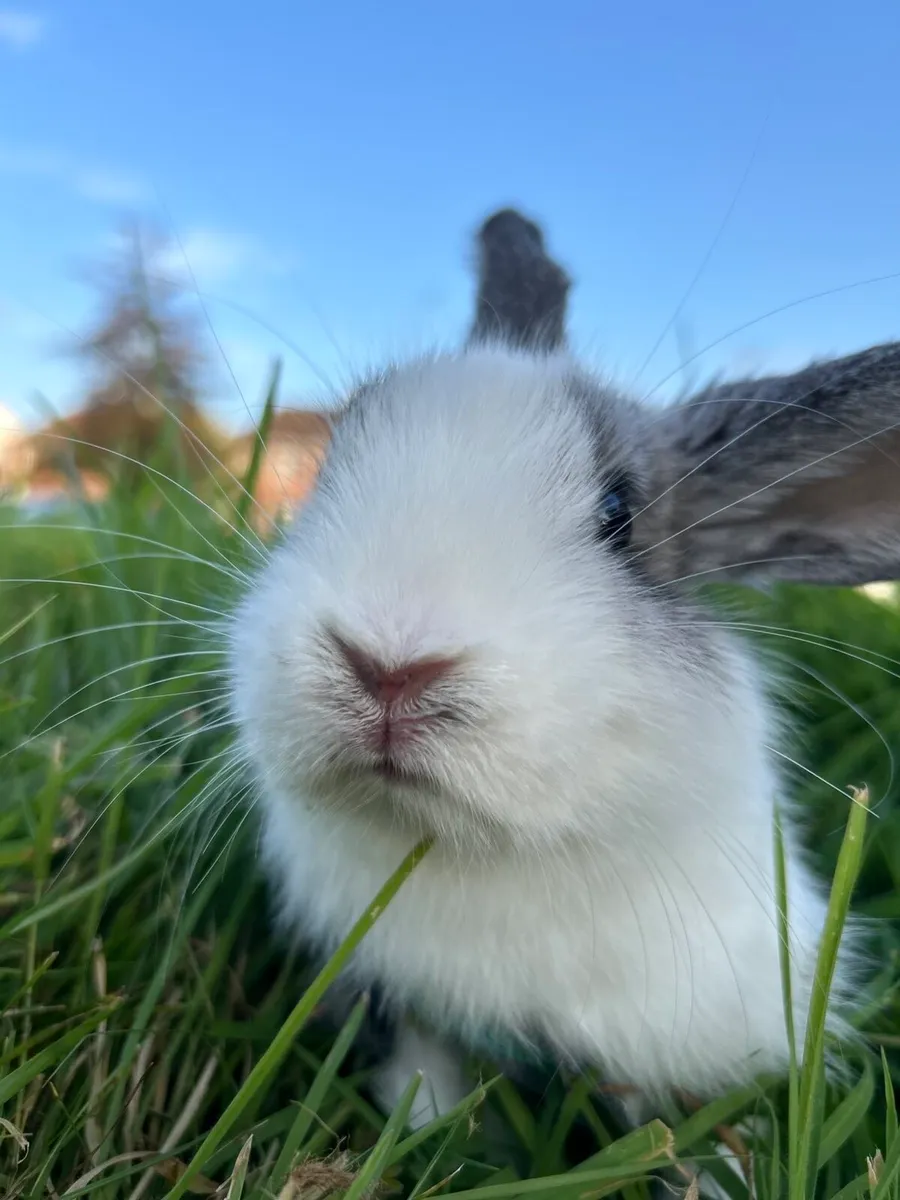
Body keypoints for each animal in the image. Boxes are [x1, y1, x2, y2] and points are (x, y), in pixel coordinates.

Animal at [227, 205, 898, 1163]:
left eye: (620, 516)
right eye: (327, 469)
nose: (388, 666)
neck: (480, 853)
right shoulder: (408, 1010)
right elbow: (426, 1079)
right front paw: (424, 1142)